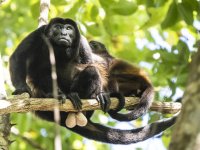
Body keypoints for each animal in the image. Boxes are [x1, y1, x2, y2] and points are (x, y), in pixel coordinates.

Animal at [10, 17, 177, 144]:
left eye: (69, 29)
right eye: (58, 27)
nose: (64, 32)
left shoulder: (82, 41)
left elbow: (90, 63)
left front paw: (100, 93)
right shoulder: (39, 33)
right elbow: (18, 56)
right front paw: (22, 89)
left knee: (92, 71)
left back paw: (77, 96)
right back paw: (55, 94)